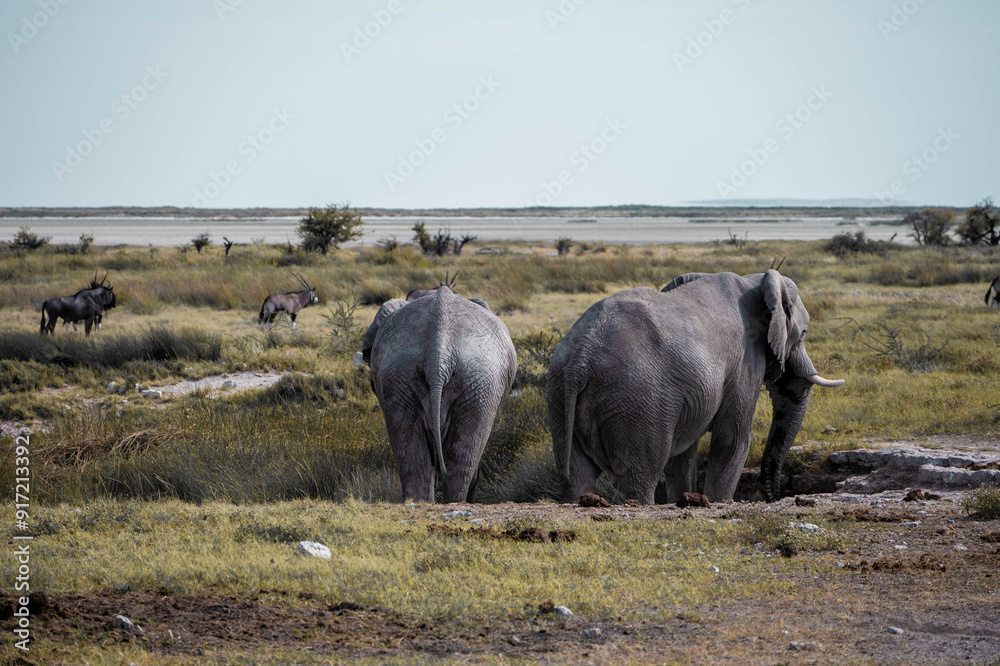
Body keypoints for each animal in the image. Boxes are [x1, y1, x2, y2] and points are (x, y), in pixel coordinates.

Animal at [548, 268, 844, 500]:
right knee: (640, 478)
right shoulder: (743, 360)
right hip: (635, 403)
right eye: (803, 333)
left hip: (560, 396)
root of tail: (580, 358)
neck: (754, 279)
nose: (775, 496)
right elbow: (732, 440)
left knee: (577, 477)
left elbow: (683, 455)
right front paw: (718, 502)